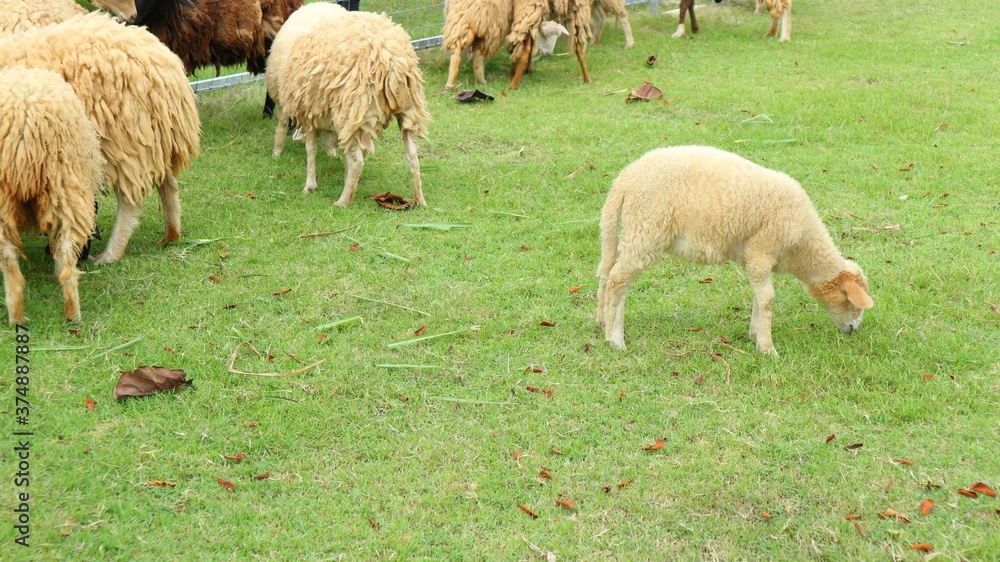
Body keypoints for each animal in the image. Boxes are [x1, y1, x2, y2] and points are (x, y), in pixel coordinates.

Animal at [0, 12, 201, 264]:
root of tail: (166, 62)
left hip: (123, 141)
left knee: (130, 202)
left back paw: (110, 254)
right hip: (153, 138)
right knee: (168, 182)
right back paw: (171, 235)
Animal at [273, 10, 429, 207]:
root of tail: (392, 60)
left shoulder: (309, 115)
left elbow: (311, 149)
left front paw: (310, 185)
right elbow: (341, 151)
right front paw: (347, 179)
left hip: (354, 107)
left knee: (357, 161)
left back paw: (343, 201)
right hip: (407, 110)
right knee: (413, 156)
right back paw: (420, 200)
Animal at [596, 146, 873, 355]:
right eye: (852, 303)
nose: (854, 330)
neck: (802, 245)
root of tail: (624, 180)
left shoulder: (753, 258)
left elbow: (760, 296)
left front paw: (755, 334)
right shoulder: (763, 249)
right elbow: (769, 298)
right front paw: (767, 348)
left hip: (632, 230)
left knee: (605, 273)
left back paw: (602, 321)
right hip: (646, 230)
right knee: (618, 281)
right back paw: (615, 339)